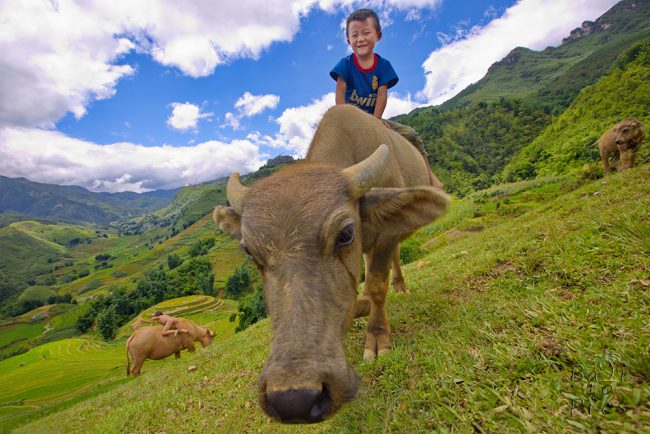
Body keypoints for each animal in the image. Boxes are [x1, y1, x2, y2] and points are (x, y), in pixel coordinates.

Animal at [213, 105, 449, 423]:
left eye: (346, 233)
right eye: (250, 253)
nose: (293, 399)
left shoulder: (385, 235)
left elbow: (377, 286)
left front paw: (377, 339)